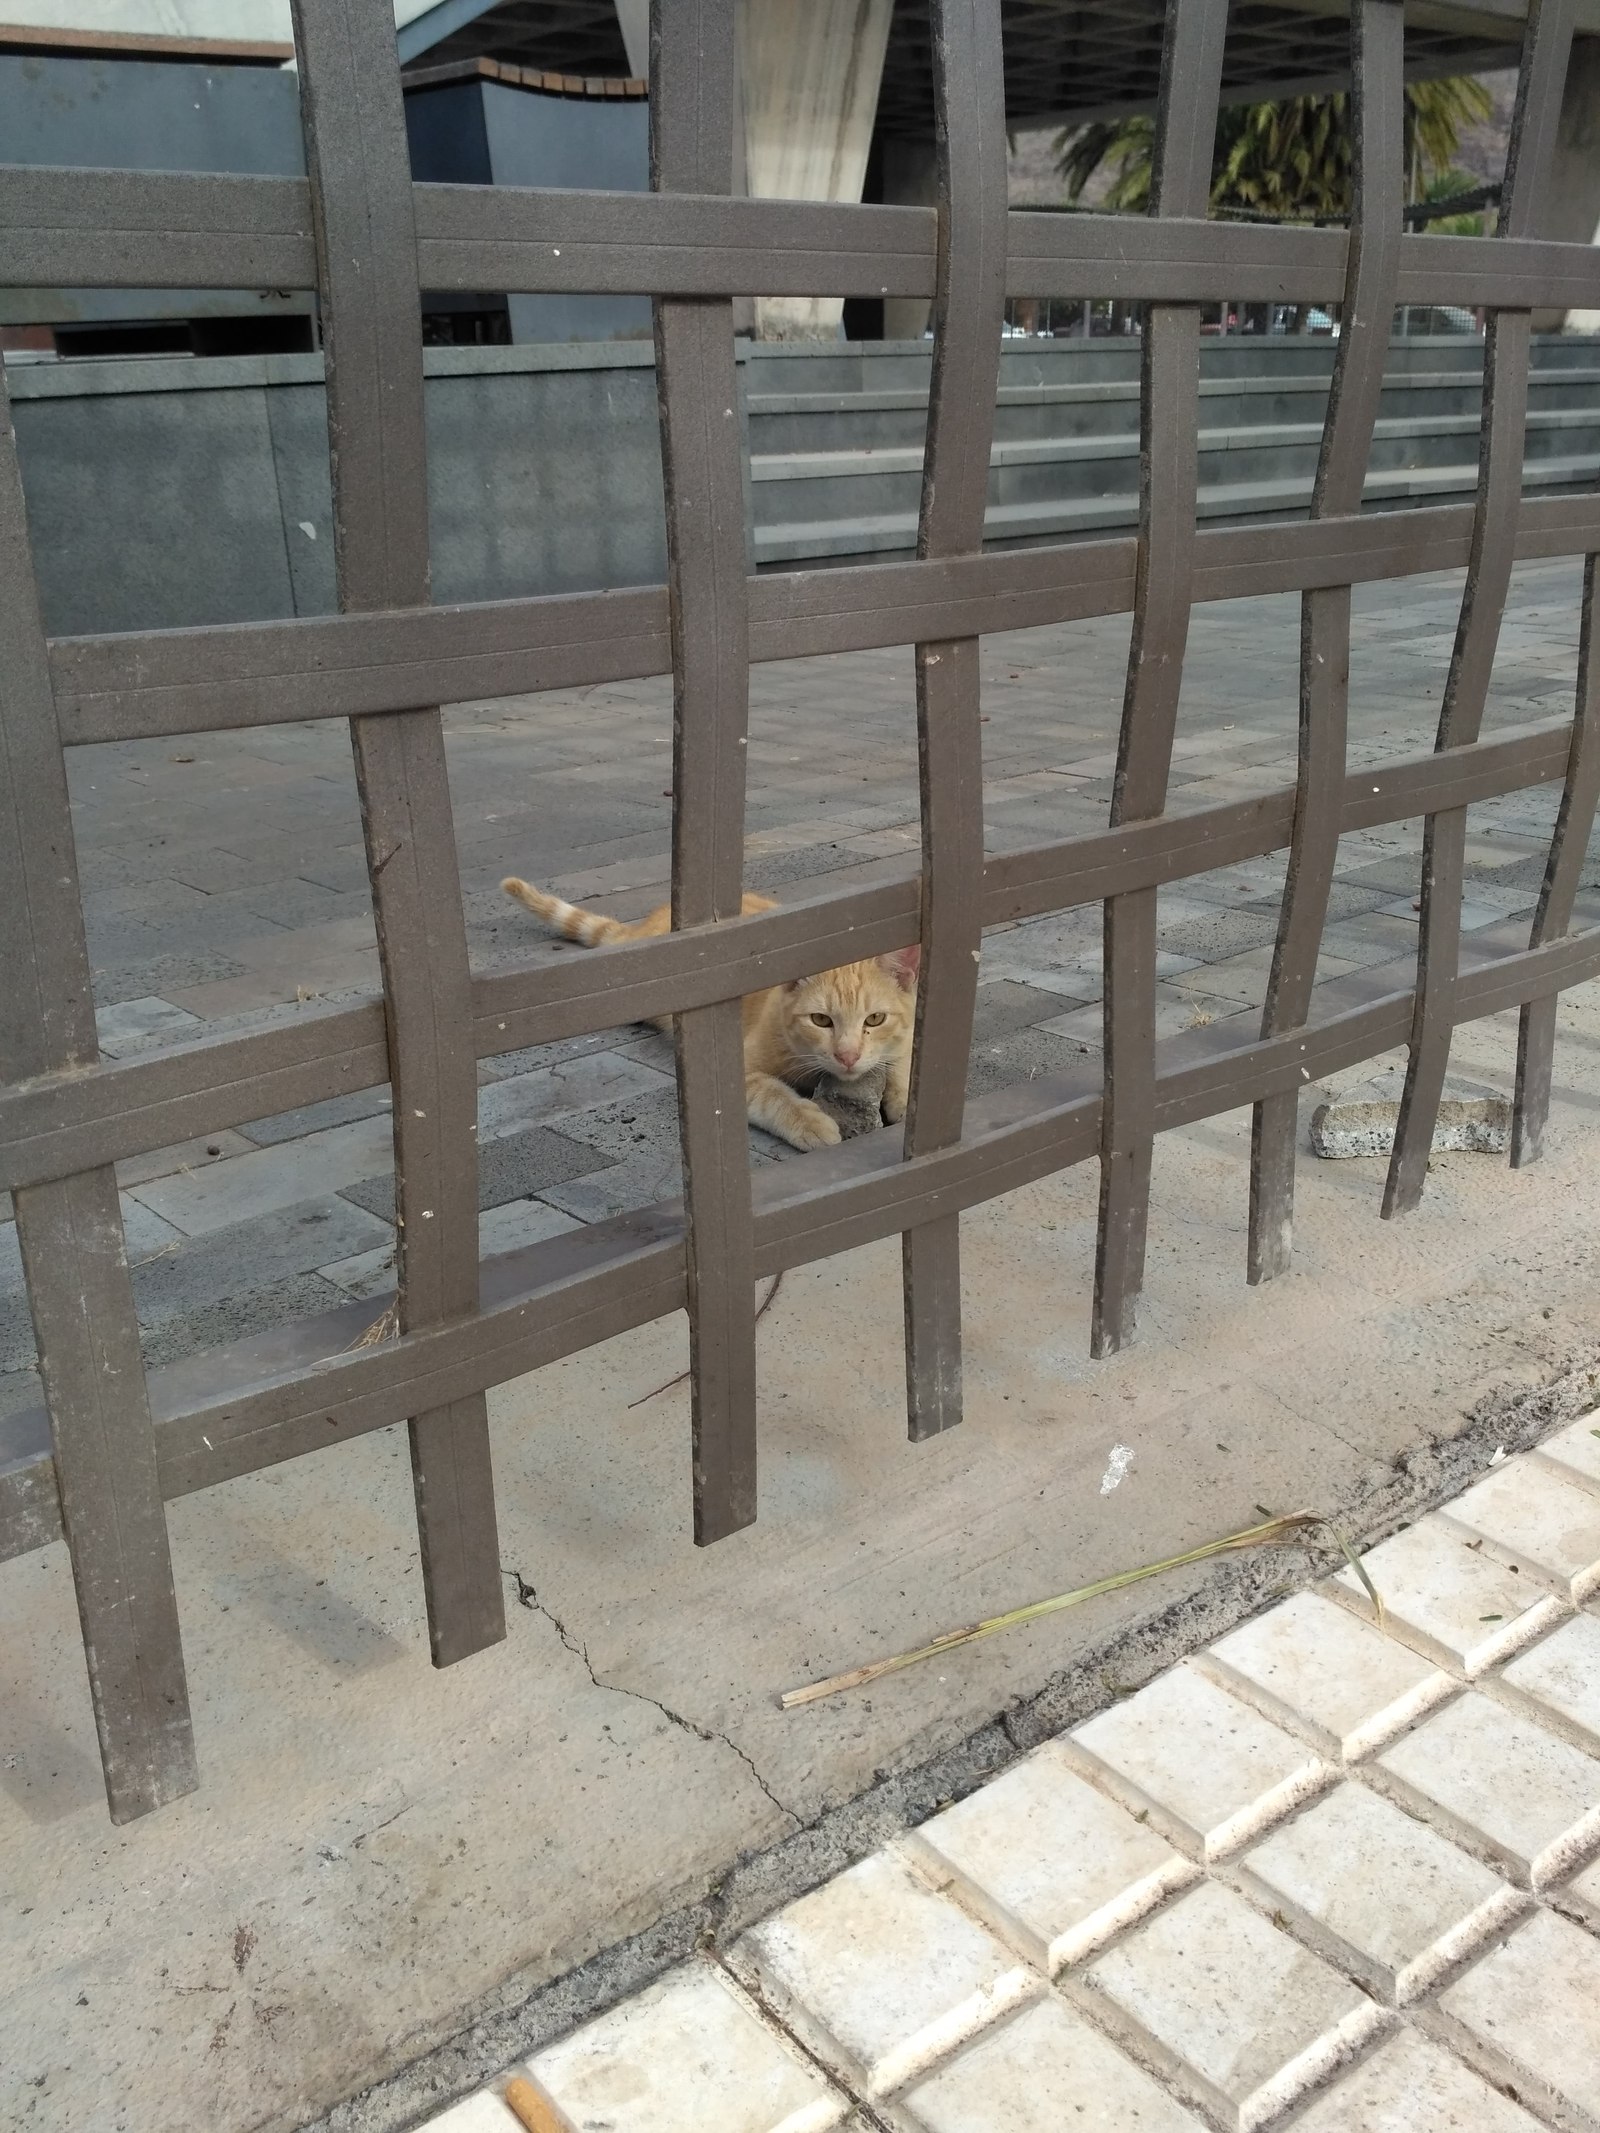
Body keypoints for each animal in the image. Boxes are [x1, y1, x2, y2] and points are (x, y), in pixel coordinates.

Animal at [501, 874, 925, 1151]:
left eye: (874, 1020)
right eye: (821, 1021)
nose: (848, 1056)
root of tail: (652, 922)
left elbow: (903, 1059)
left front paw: (904, 1098)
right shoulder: (738, 1071)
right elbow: (774, 1095)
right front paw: (810, 1121)